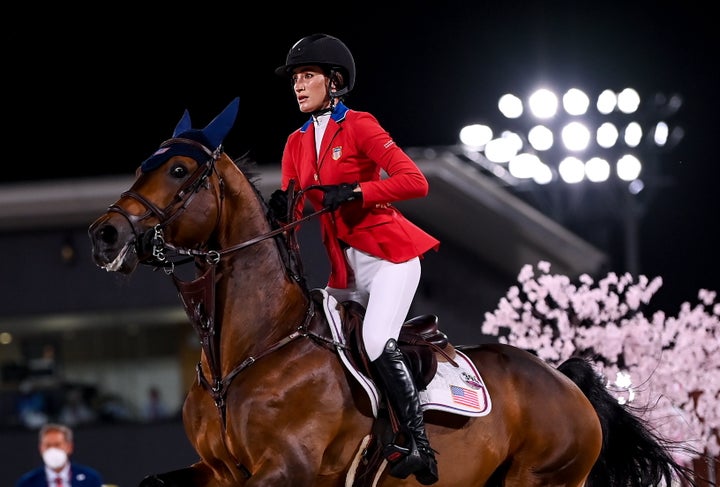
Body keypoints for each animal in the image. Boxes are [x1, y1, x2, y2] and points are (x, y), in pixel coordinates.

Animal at [87, 97, 700, 486]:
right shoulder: (217, 472)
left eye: (179, 170)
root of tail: (563, 379)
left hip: (542, 478)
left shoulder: (289, 469)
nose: (104, 235)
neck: (248, 352)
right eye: (142, 166)